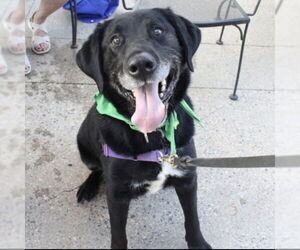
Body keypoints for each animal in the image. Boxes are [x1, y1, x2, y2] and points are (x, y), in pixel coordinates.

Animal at [76, 8, 211, 250]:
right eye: (115, 40)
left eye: (158, 31)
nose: (140, 66)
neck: (154, 136)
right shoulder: (117, 194)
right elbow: (118, 236)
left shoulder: (188, 178)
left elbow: (192, 219)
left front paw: (198, 243)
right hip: (83, 147)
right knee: (96, 169)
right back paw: (88, 187)